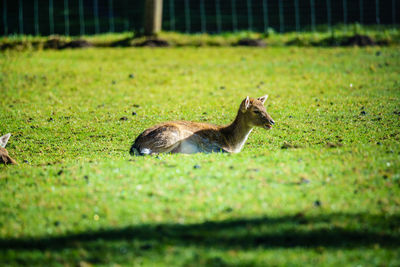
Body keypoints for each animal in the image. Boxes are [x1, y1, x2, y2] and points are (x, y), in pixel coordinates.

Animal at [130, 95, 274, 156]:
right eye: (255, 110)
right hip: (170, 136)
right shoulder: (208, 143)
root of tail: (135, 145)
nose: (272, 121)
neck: (232, 141)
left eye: (265, 107)